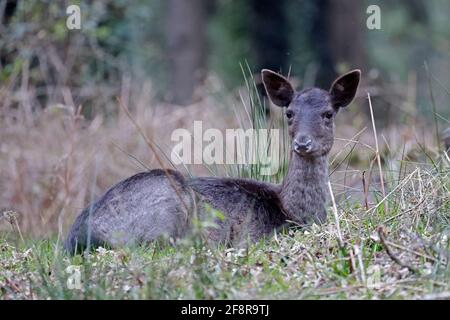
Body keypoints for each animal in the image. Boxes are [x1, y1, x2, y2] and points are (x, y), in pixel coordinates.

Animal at [63, 69, 360, 254]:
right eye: (289, 113)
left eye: (328, 113)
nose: (302, 143)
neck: (292, 212)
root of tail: (77, 238)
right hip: (166, 208)